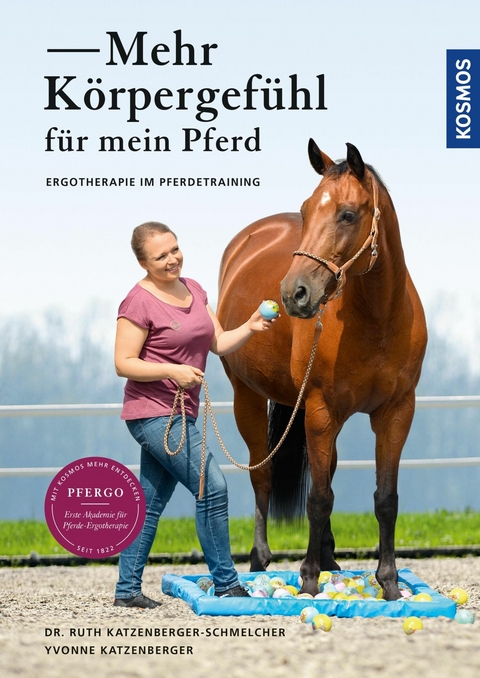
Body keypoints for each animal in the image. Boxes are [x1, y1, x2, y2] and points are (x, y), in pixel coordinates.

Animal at [216, 140, 427, 600]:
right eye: (307, 209)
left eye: (347, 214)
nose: (294, 294)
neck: (378, 319)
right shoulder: (318, 410)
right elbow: (317, 498)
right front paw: (310, 578)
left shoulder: (396, 413)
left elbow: (385, 498)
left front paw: (389, 582)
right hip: (248, 397)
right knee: (264, 473)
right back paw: (261, 559)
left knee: (324, 472)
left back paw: (331, 557)